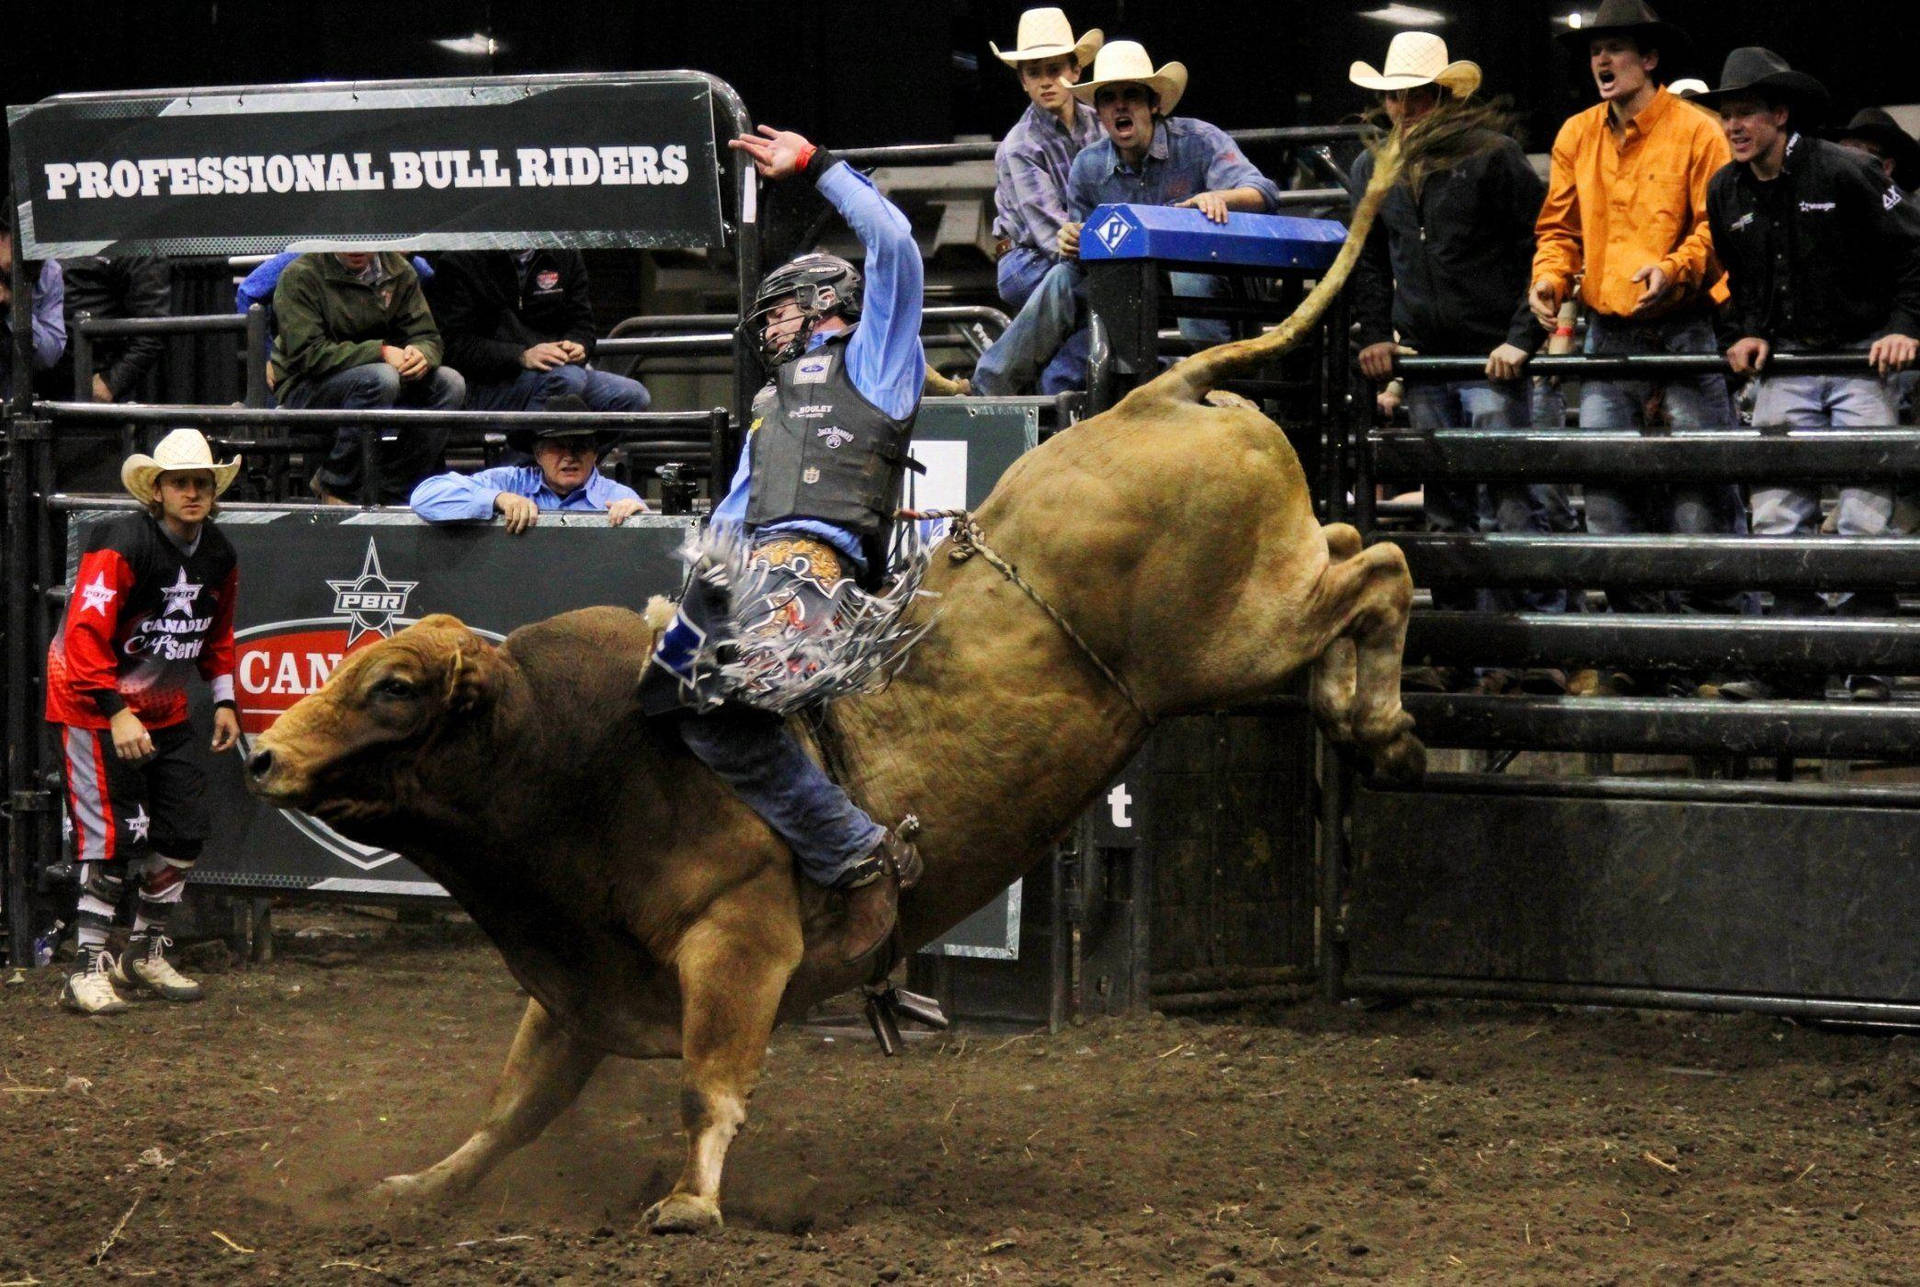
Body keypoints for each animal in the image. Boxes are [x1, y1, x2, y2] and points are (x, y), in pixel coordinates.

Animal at [248, 127, 1428, 1234]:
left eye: (395, 689)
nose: (260, 752)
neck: (579, 755)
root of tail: (1159, 395)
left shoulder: (740, 942)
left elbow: (707, 1088)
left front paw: (691, 1202)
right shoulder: (581, 982)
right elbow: (511, 1109)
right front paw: (420, 1186)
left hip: (1227, 640)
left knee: (1379, 566)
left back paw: (1385, 728)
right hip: (1254, 604)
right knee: (1347, 544)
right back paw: (1359, 709)